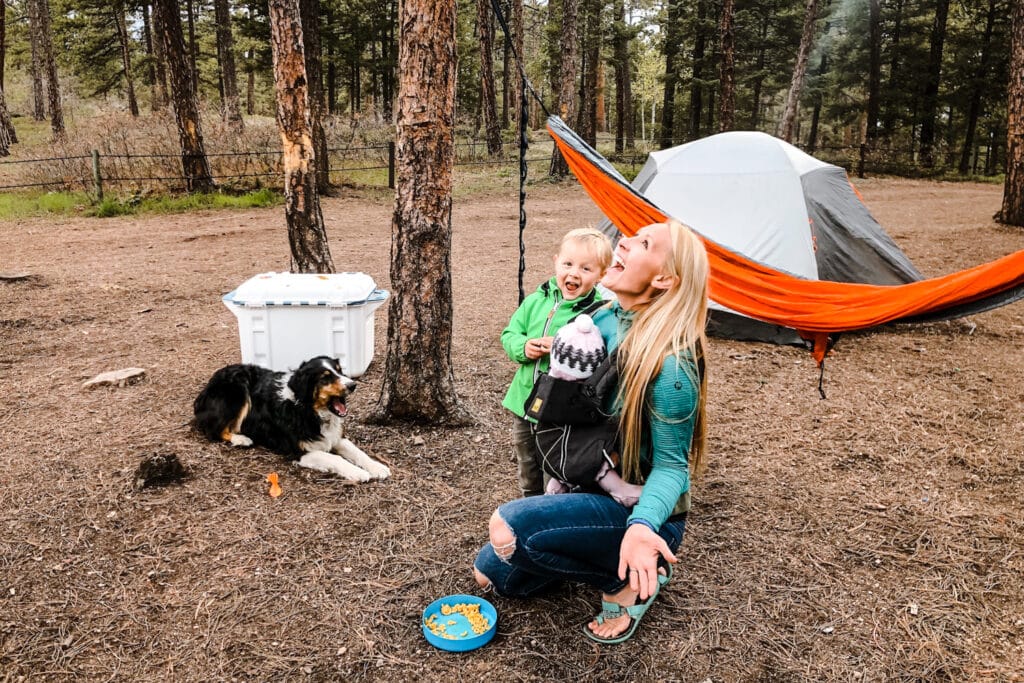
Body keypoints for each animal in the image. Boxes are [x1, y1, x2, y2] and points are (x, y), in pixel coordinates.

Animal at [191, 356, 387, 483]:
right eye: (325, 378)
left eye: (340, 372)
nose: (353, 385)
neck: (309, 412)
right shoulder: (300, 451)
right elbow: (336, 459)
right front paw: (358, 473)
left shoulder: (336, 438)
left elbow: (358, 452)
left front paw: (377, 467)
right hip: (238, 391)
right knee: (213, 430)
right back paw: (241, 439)